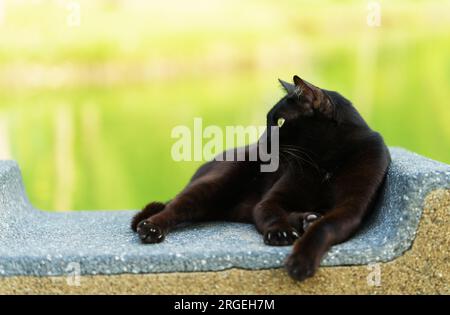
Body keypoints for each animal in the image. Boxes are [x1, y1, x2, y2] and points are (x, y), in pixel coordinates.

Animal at [130, 76, 390, 282]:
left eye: (281, 122)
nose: (262, 142)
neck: (325, 163)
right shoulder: (271, 200)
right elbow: (271, 214)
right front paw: (280, 233)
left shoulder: (351, 208)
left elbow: (324, 227)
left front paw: (301, 260)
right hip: (217, 183)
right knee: (175, 206)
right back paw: (150, 227)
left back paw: (307, 219)